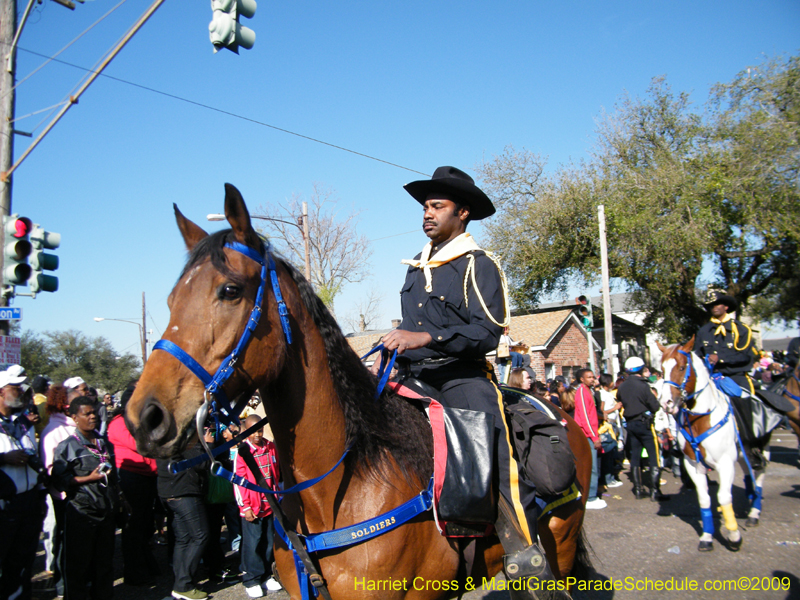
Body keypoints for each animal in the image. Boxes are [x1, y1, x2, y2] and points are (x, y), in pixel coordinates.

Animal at [126, 184, 592, 600]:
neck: (340, 489)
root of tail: (563, 417)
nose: (146, 417)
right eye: (171, 299)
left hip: (562, 547)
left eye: (229, 290)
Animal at [660, 338, 764, 552]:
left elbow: (724, 497)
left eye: (681, 367)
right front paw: (707, 537)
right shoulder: (693, 465)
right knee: (749, 472)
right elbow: (704, 500)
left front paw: (734, 537)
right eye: (662, 369)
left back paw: (754, 513)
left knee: (760, 472)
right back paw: (751, 502)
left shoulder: (725, 463)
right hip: (742, 453)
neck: (700, 418)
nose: (666, 403)